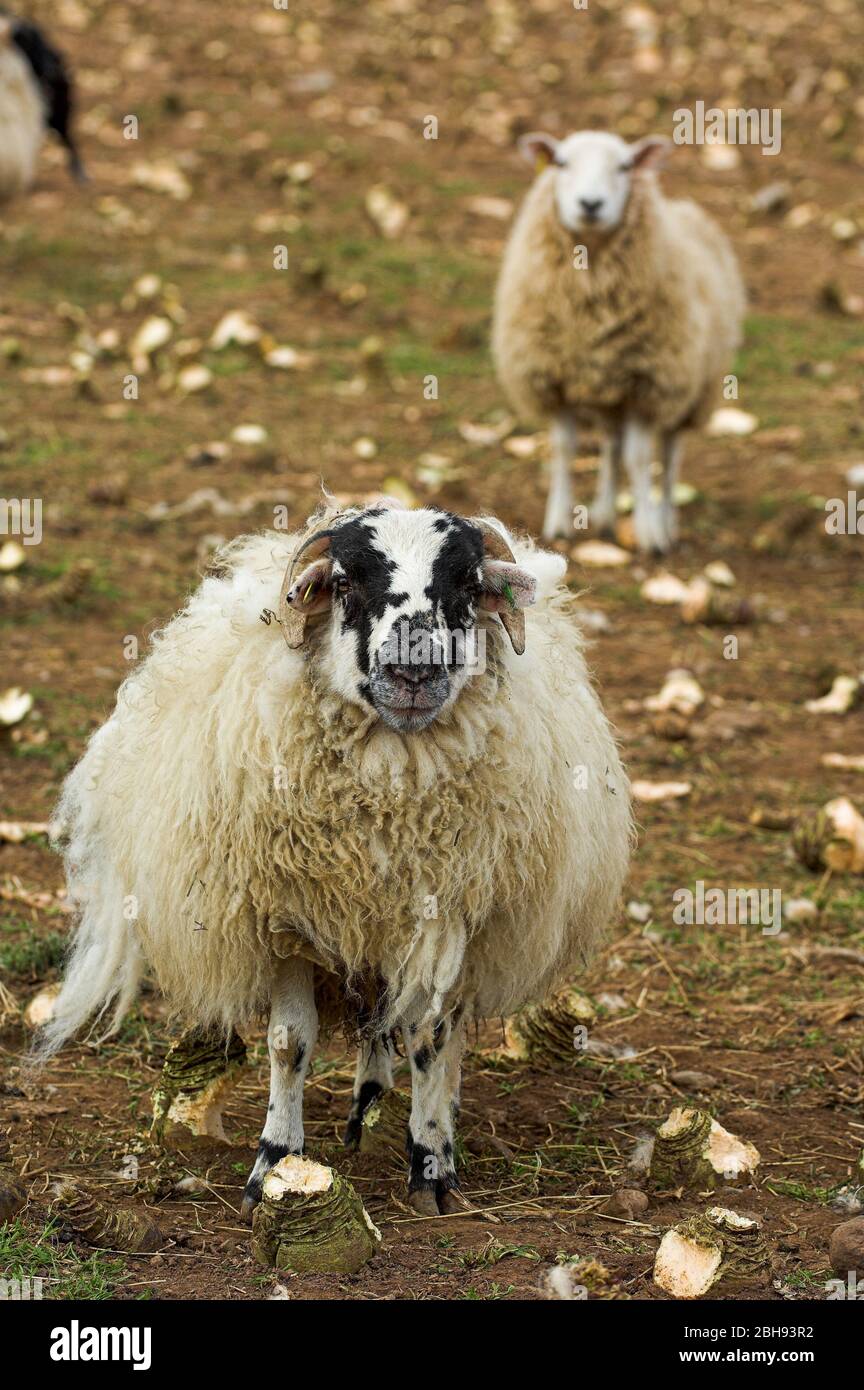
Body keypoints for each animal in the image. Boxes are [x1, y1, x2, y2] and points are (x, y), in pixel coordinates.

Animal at [37, 503, 633, 1217]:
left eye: (467, 582)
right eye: (346, 582)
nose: (414, 670)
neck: (387, 801)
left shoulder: (446, 921)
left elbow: (429, 1041)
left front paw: (431, 1165)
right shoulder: (287, 919)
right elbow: (289, 1043)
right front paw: (273, 1163)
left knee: (436, 1033)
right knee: (375, 1022)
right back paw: (363, 1109)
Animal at [491, 126, 750, 547]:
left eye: (625, 166)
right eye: (561, 162)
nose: (591, 204)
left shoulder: (647, 385)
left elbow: (640, 459)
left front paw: (649, 535)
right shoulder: (556, 378)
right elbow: (565, 449)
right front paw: (558, 523)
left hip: (690, 386)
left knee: (669, 453)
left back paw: (665, 522)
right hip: (608, 392)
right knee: (611, 448)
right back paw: (605, 515)